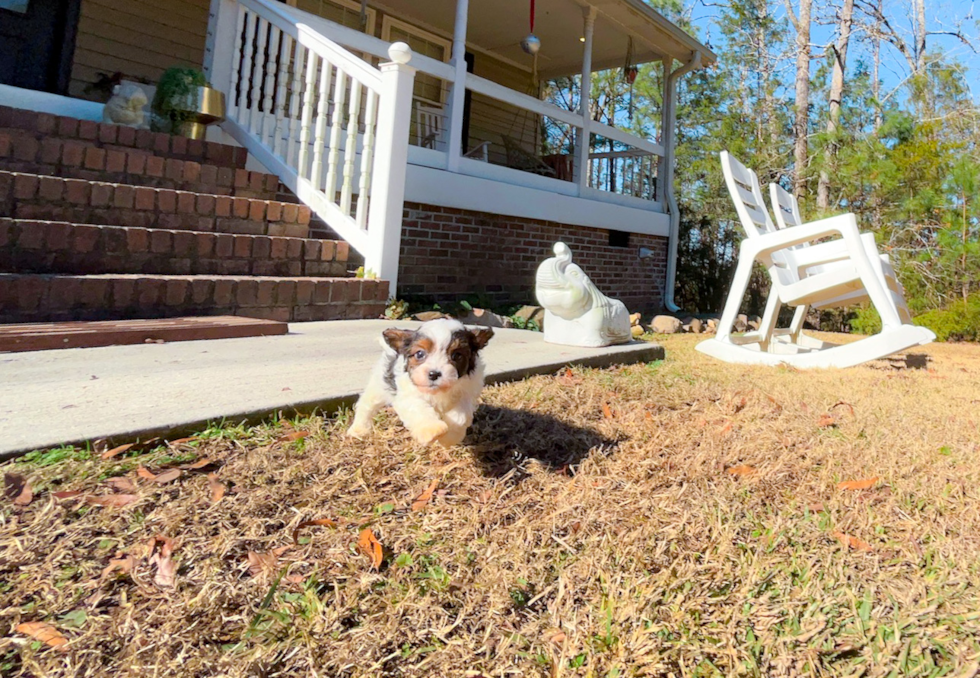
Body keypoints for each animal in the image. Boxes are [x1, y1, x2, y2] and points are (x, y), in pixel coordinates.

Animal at [348, 322, 494, 448]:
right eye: (419, 354)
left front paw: (449, 438)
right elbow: (419, 408)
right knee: (366, 405)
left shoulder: (468, 392)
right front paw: (432, 429)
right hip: (379, 385)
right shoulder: (408, 395)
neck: (438, 392)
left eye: (457, 355)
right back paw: (359, 429)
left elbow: (460, 416)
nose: (434, 374)